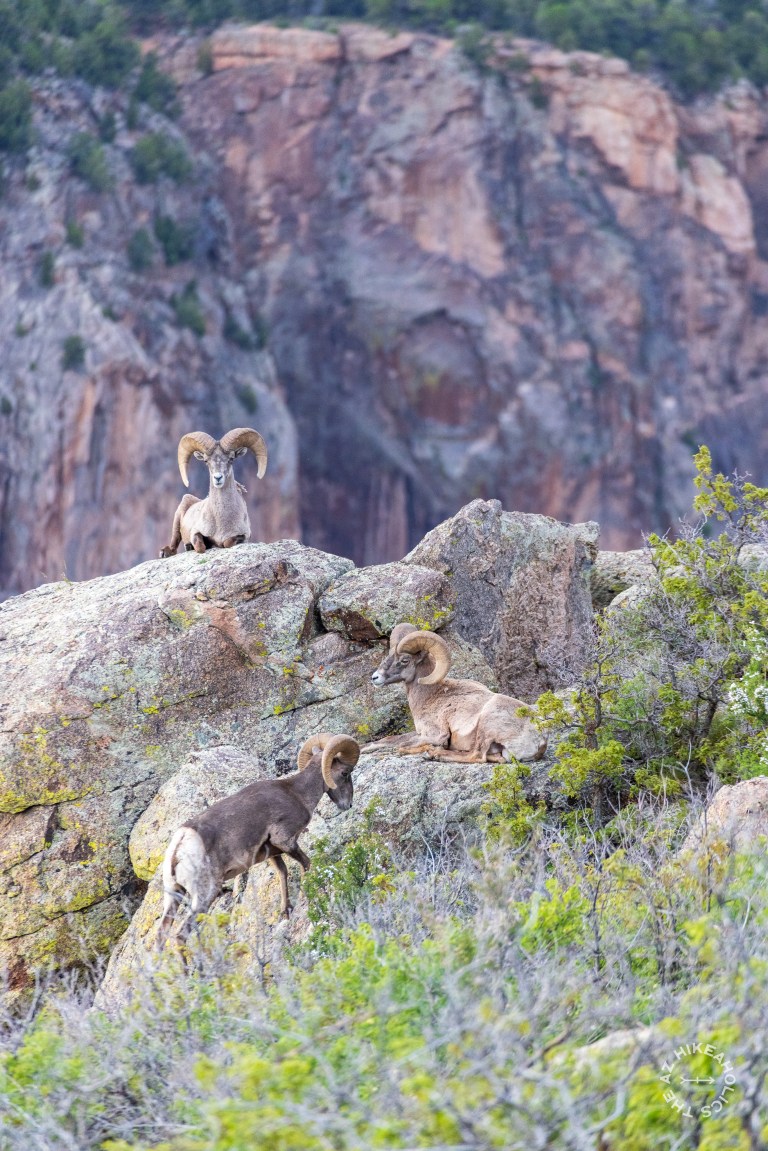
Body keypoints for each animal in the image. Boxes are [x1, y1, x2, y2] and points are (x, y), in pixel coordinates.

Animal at [157, 732, 360, 946]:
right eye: (345, 773)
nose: (348, 805)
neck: (297, 793)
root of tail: (181, 841)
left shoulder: (272, 853)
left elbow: (282, 873)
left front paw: (285, 912)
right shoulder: (285, 841)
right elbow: (306, 864)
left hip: (174, 896)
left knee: (161, 935)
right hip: (205, 894)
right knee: (181, 934)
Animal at [159, 427, 268, 557]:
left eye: (231, 459)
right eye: (206, 461)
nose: (218, 478)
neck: (221, 522)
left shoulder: (244, 536)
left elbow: (227, 542)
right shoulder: (196, 531)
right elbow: (200, 546)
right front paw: (198, 545)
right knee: (174, 544)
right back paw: (167, 552)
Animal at [361, 623, 546, 763]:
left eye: (404, 660)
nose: (375, 677)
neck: (430, 696)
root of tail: (540, 741)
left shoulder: (434, 734)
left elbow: (402, 745)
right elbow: (388, 740)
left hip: (486, 724)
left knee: (477, 756)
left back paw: (434, 753)